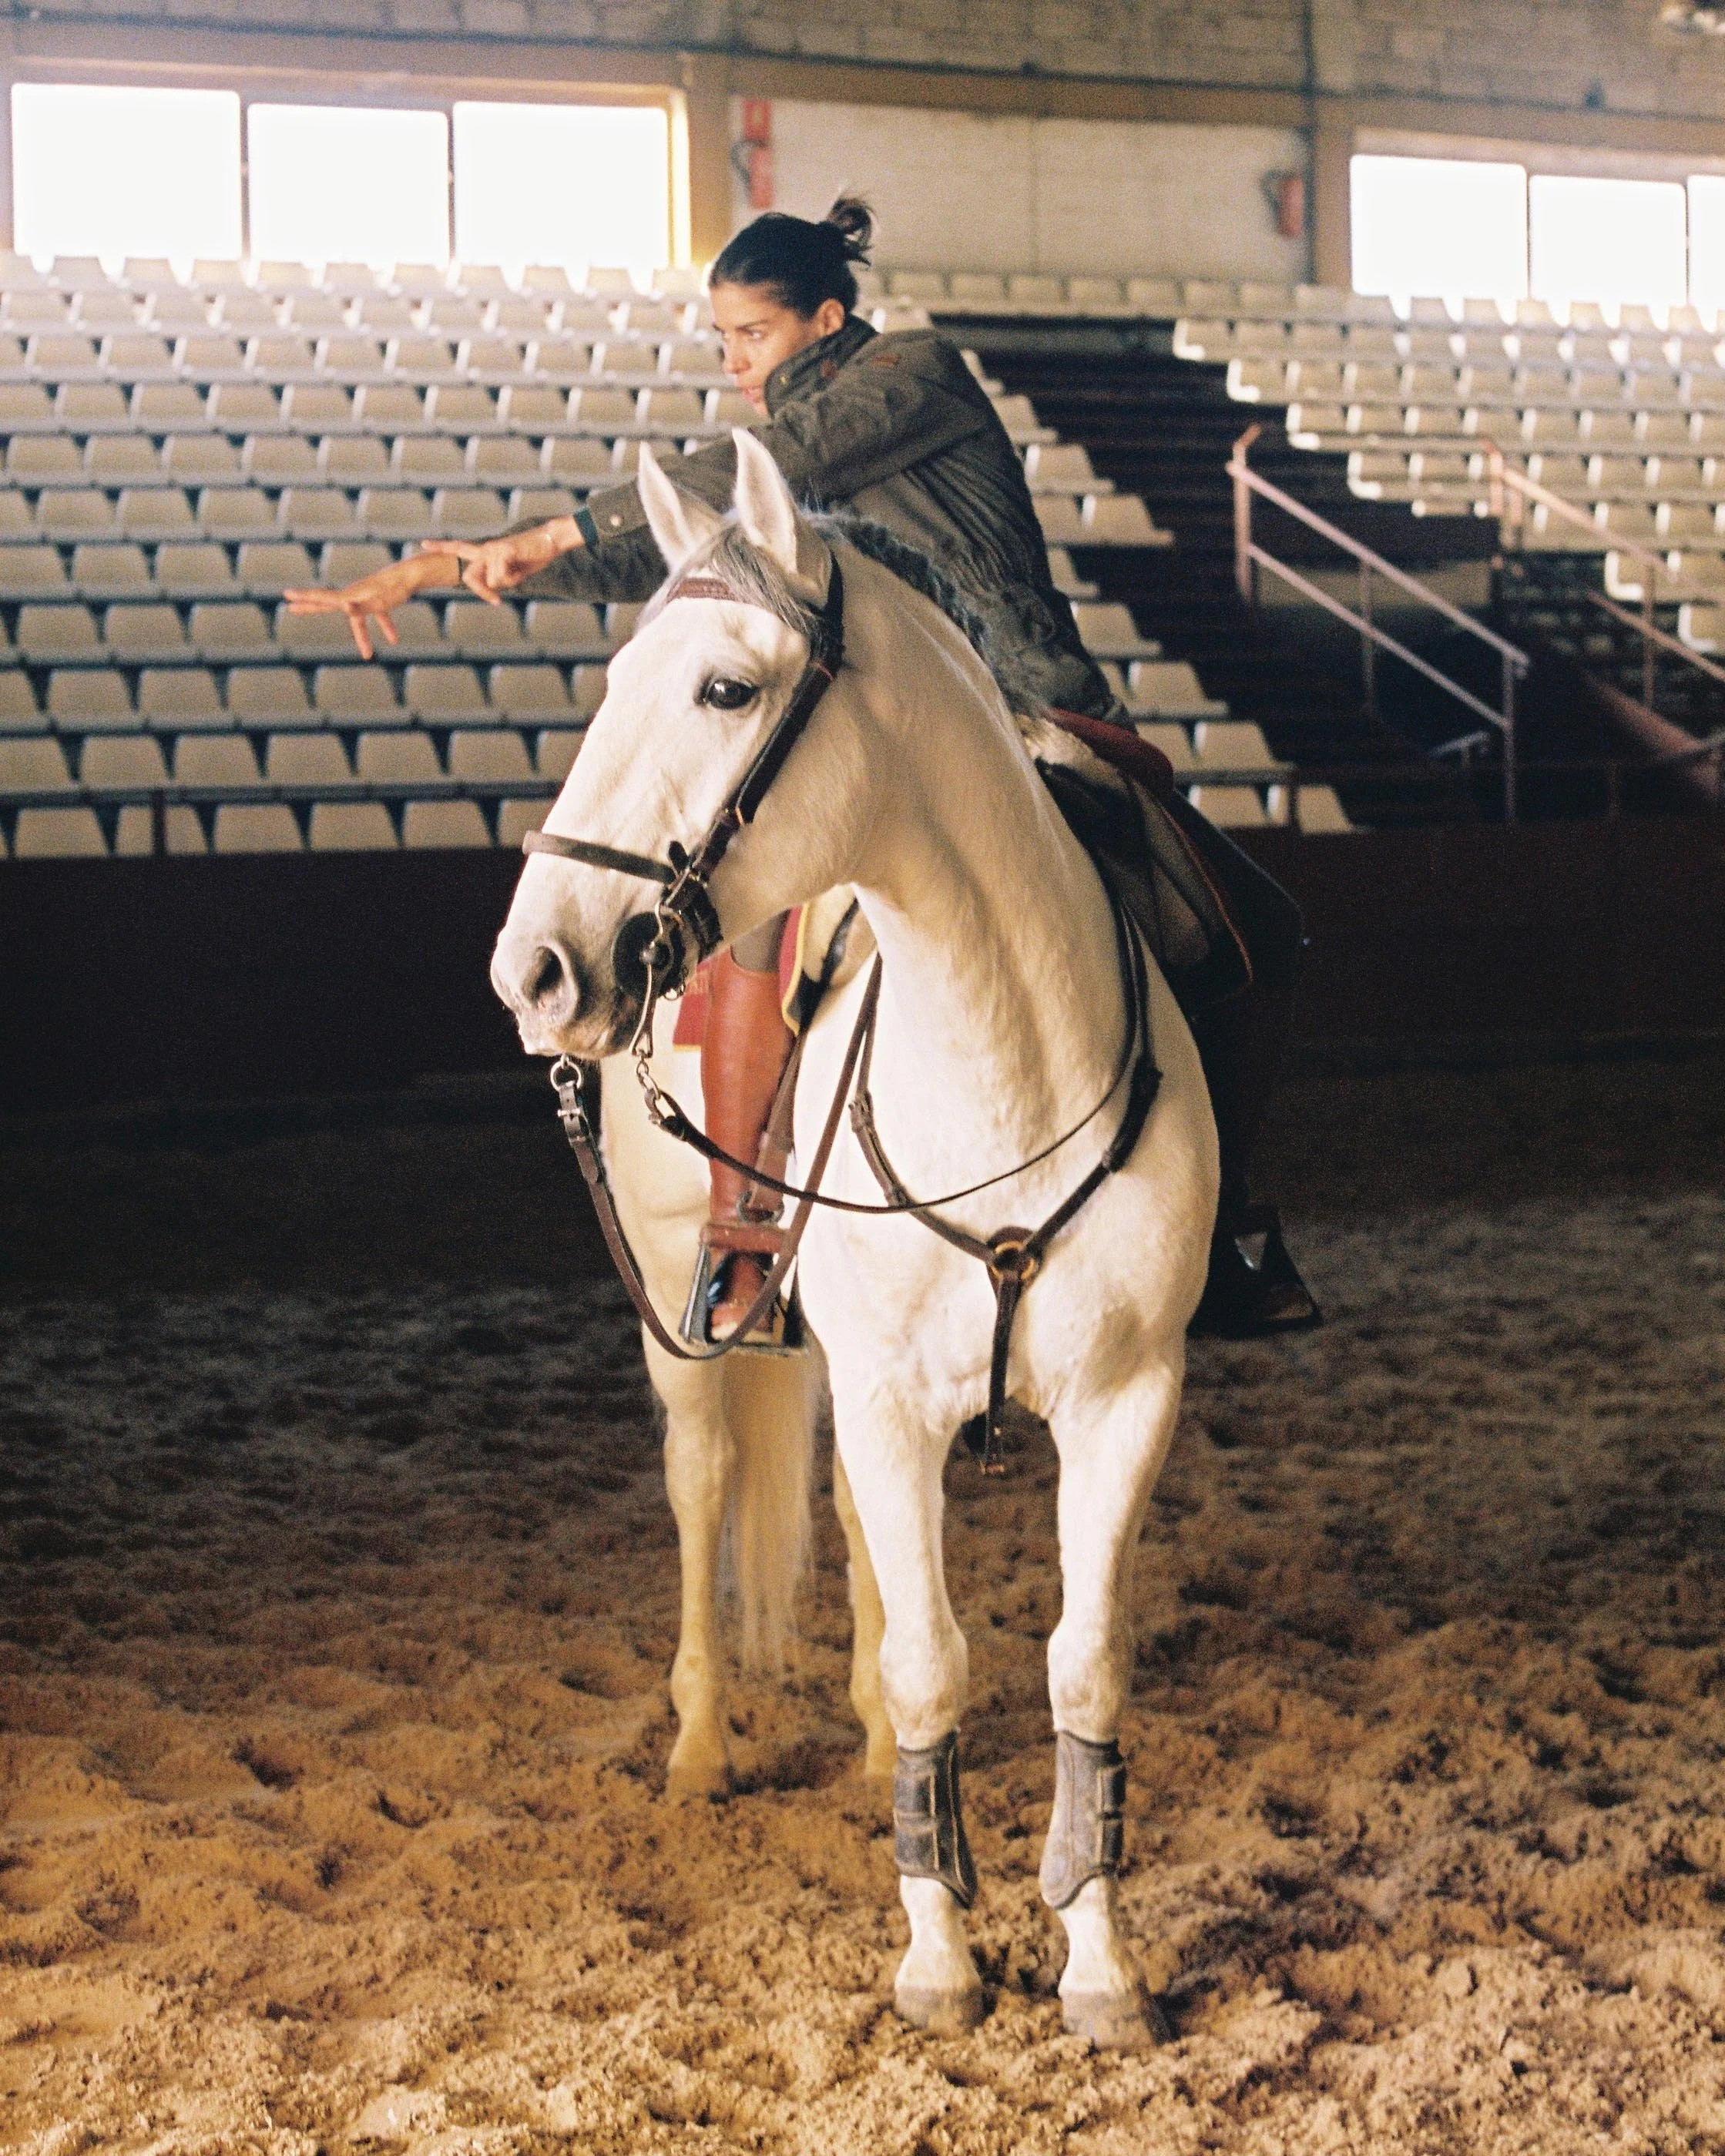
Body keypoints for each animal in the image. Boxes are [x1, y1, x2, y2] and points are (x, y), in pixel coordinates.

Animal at [490, 431, 1219, 2049]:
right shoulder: (884, 1396)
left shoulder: (1125, 1400)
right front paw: (938, 1954)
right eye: (615, 673)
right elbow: (936, 1656)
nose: (534, 967)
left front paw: (1096, 1957)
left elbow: (1078, 1665)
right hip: (681, 1311)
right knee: (705, 1488)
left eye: (723, 687)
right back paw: (703, 1740)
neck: (1000, 1061)